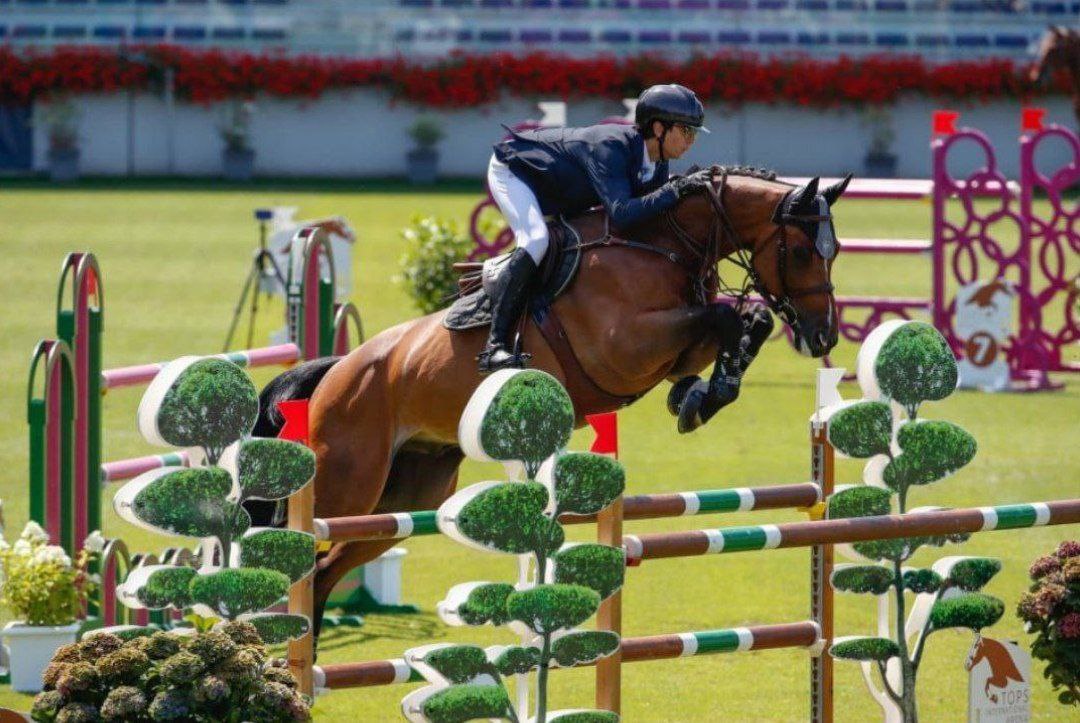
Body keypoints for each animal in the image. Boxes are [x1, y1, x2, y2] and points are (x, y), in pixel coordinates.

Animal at [252, 167, 848, 641]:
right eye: (800, 251)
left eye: (834, 252)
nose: (822, 336)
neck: (662, 242)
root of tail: (338, 372)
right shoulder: (626, 346)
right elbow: (725, 316)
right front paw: (704, 393)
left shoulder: (671, 344)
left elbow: (746, 320)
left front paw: (701, 395)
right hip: (348, 483)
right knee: (302, 556)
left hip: (405, 495)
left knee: (326, 572)